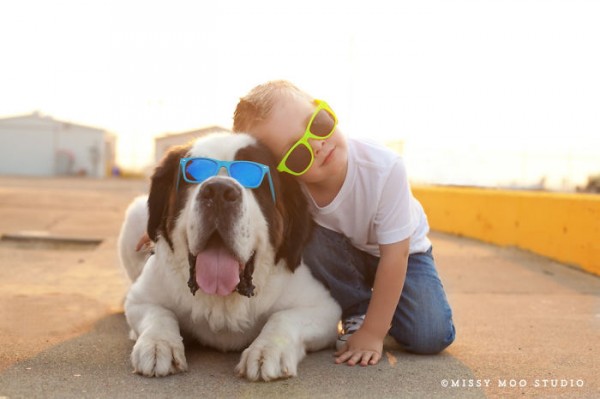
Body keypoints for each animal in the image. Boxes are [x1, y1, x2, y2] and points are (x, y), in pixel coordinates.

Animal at [118, 132, 342, 382]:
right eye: (192, 175)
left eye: (255, 179)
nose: (218, 191)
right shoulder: (141, 298)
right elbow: (158, 313)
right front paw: (158, 345)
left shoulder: (324, 308)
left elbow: (284, 318)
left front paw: (267, 351)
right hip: (135, 214)